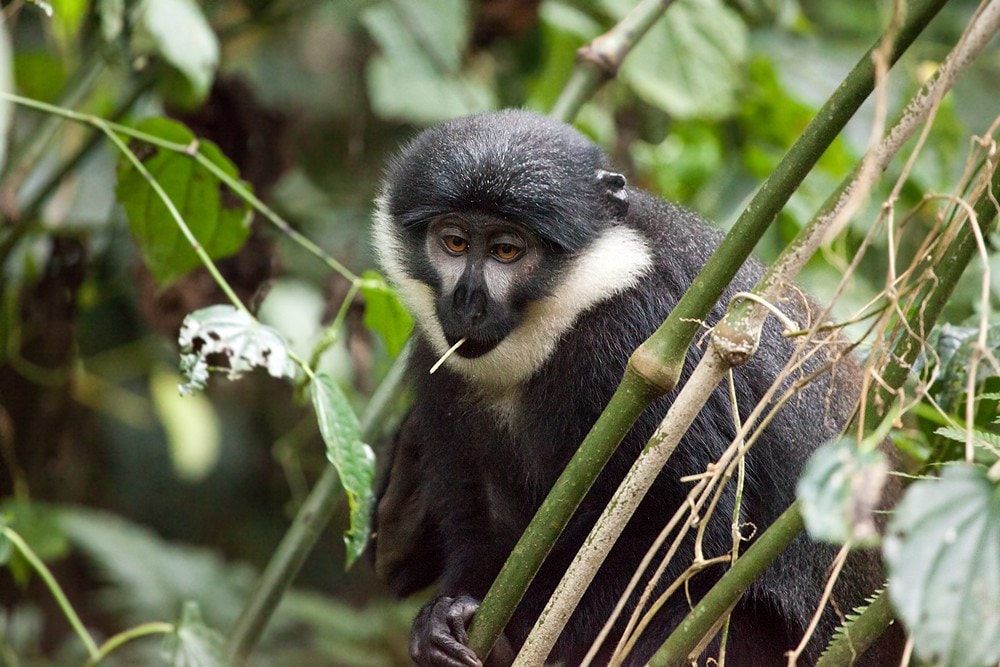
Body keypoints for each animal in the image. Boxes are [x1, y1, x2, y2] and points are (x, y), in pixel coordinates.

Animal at [369, 110, 903, 666]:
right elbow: (481, 517)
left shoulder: (638, 335)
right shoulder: (437, 366)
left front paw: (517, 629)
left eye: (506, 250)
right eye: (454, 242)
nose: (468, 300)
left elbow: (685, 527)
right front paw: (442, 619)